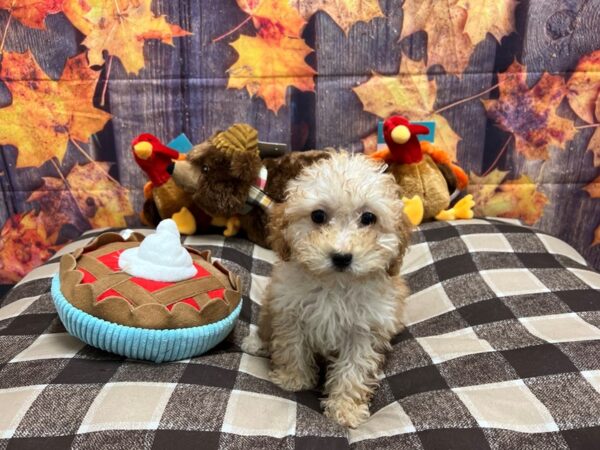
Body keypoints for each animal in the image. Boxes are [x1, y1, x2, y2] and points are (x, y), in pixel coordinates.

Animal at [241, 152, 410, 428]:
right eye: (318, 216)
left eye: (368, 218)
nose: (341, 257)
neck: (335, 285)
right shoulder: (289, 310)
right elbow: (292, 346)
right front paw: (294, 379)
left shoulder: (364, 331)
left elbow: (353, 369)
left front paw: (345, 408)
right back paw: (257, 343)